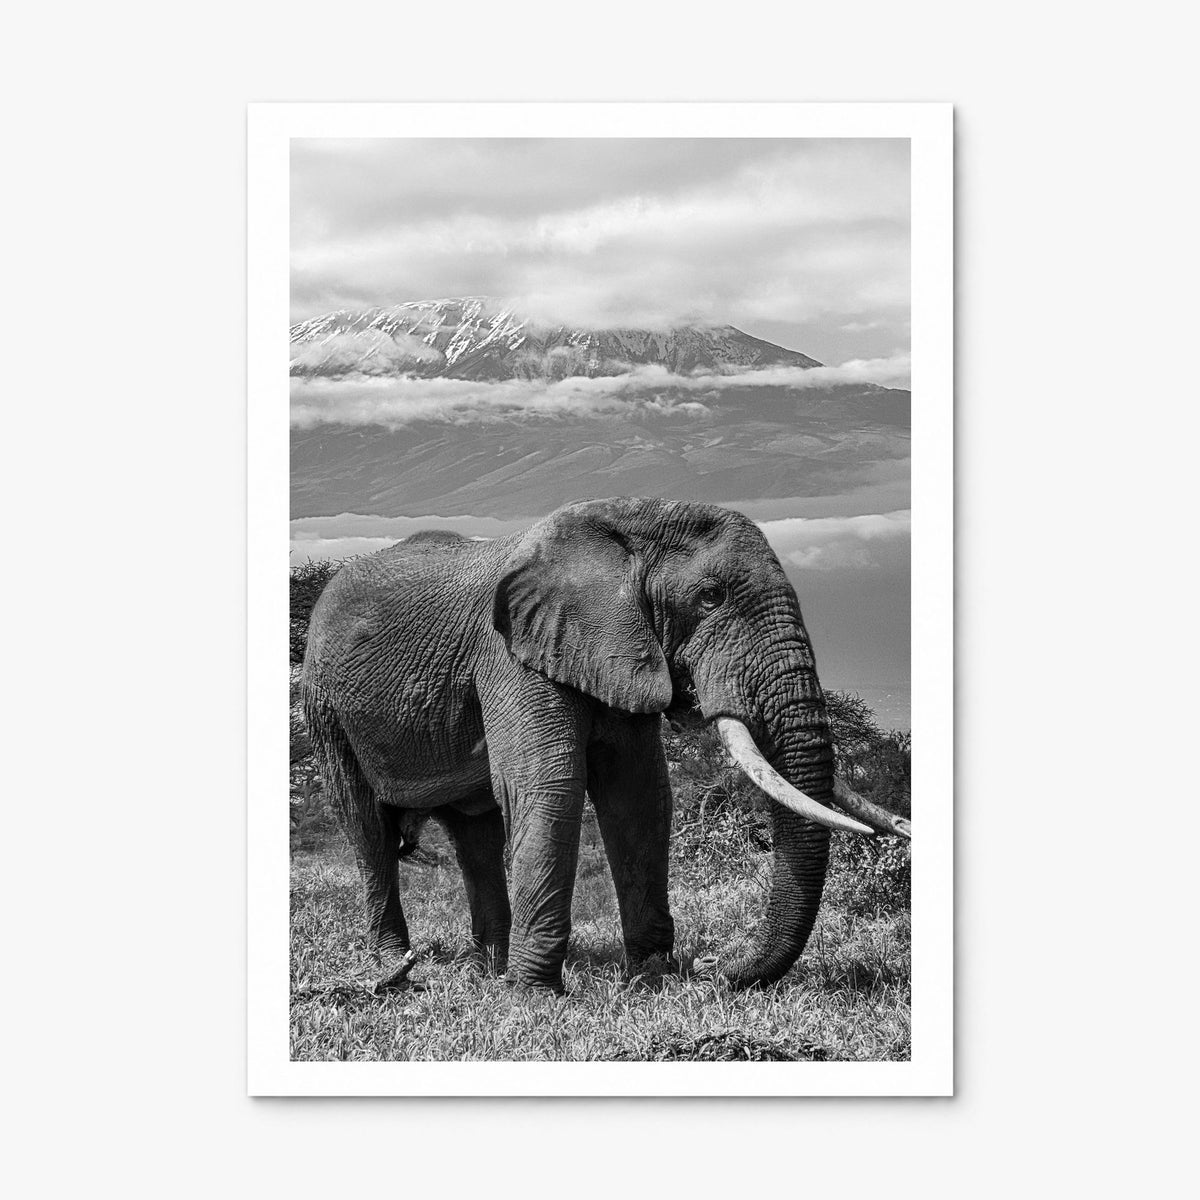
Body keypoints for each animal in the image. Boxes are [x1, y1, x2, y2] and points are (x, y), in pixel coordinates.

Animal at [301, 496, 909, 993]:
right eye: (710, 598)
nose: (716, 970)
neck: (628, 523)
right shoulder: (511, 657)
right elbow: (550, 787)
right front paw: (536, 998)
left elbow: (638, 796)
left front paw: (651, 980)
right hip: (326, 706)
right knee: (367, 827)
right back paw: (398, 966)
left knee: (476, 833)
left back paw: (488, 970)